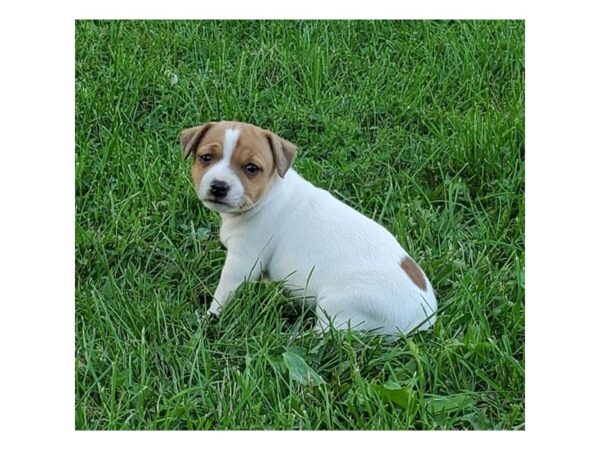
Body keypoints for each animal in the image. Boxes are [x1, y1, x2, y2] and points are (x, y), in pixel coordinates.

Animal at [180, 120, 438, 338]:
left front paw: (209, 318)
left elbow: (224, 293)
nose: (219, 186)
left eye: (252, 168)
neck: (269, 194)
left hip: (340, 305)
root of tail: (424, 318)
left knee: (326, 335)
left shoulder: (243, 261)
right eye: (206, 157)